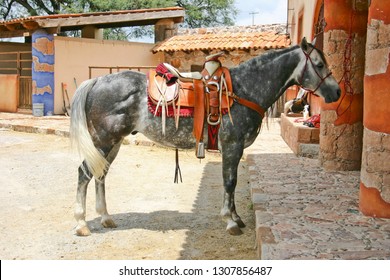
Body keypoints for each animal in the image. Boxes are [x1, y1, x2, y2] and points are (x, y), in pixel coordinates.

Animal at [71, 37, 342, 236]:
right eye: (319, 64)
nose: (338, 92)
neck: (242, 91)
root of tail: (97, 80)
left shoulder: (236, 149)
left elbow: (231, 182)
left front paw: (236, 217)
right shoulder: (232, 146)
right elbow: (229, 182)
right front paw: (231, 222)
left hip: (113, 142)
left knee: (101, 174)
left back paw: (106, 218)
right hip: (103, 140)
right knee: (84, 174)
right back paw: (81, 224)